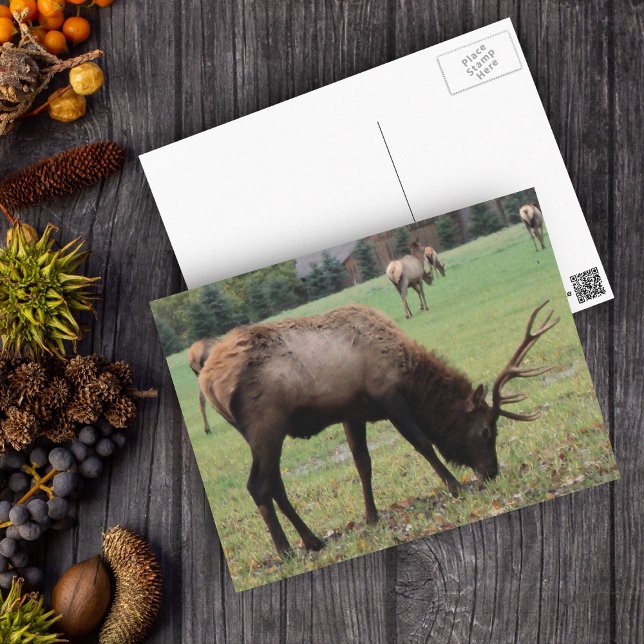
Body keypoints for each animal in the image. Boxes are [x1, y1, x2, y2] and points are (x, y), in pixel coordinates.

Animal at [198, 301, 558, 557]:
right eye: (485, 431)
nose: (493, 471)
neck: (410, 377)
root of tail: (209, 381)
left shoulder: (351, 412)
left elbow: (363, 464)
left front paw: (371, 517)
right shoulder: (389, 396)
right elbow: (422, 443)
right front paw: (455, 487)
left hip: (263, 430)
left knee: (275, 484)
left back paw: (312, 541)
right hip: (266, 422)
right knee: (258, 485)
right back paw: (286, 550)